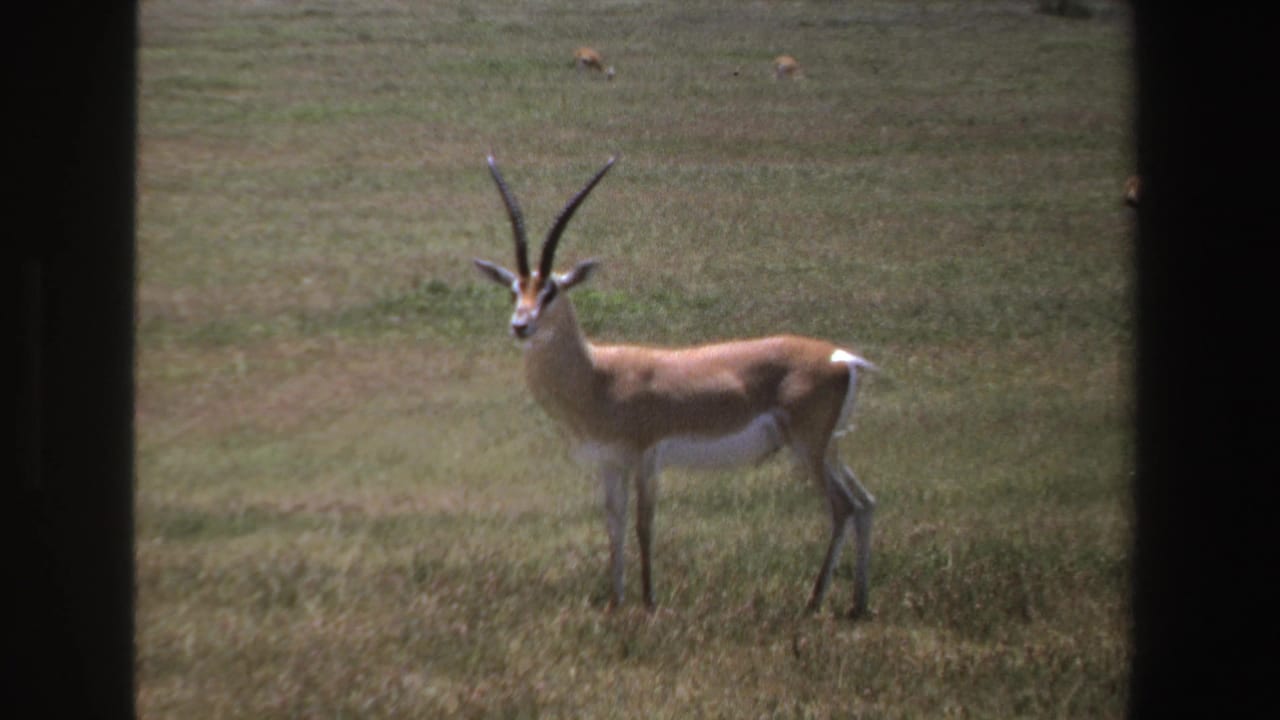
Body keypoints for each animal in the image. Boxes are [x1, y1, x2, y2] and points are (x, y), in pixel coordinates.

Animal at [473, 156, 879, 618]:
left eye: (552, 289)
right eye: (514, 289)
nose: (521, 326)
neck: (598, 375)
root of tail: (841, 358)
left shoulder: (646, 457)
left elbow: (643, 524)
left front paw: (649, 601)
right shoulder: (609, 462)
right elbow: (613, 524)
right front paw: (615, 602)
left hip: (808, 449)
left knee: (843, 507)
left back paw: (813, 603)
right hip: (829, 449)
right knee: (866, 504)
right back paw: (858, 604)